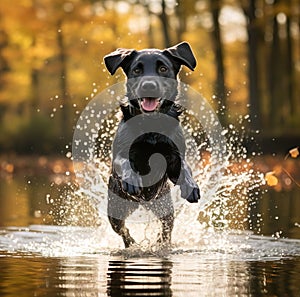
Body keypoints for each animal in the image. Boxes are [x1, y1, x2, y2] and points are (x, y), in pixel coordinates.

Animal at [104, 40, 200, 246]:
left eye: (163, 68)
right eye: (137, 70)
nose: (149, 86)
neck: (151, 124)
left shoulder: (173, 157)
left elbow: (185, 168)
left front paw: (191, 187)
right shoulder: (120, 156)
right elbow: (124, 162)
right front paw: (132, 180)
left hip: (165, 208)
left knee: (166, 230)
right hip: (115, 210)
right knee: (123, 231)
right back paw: (132, 243)